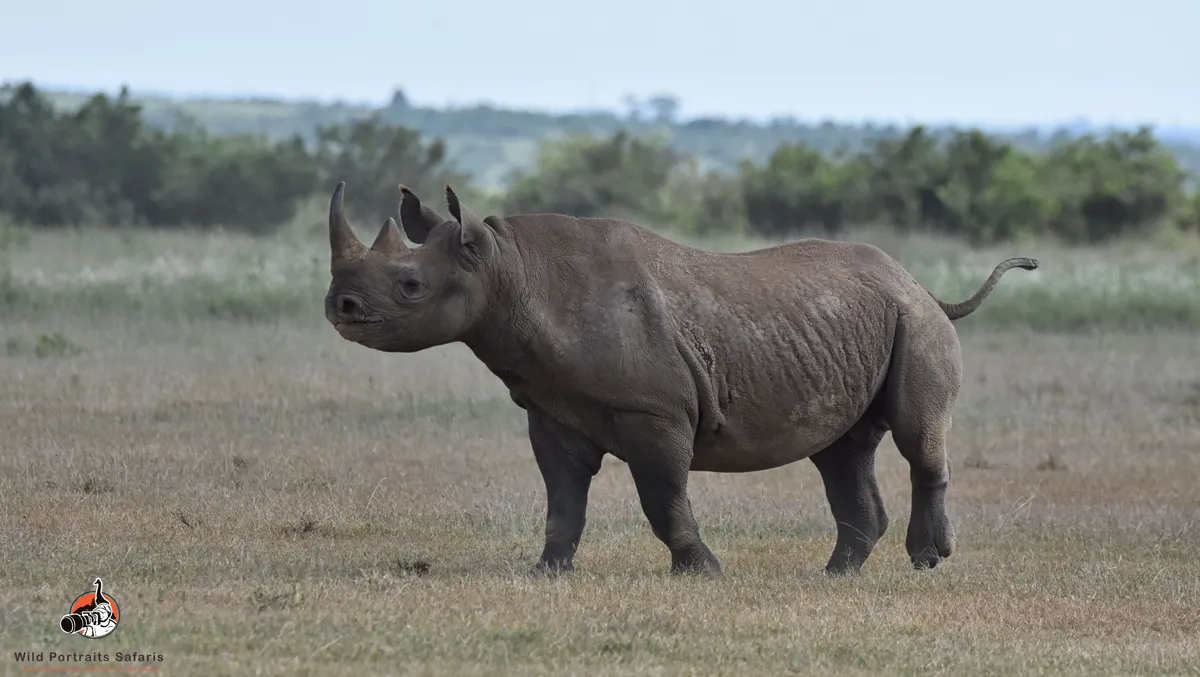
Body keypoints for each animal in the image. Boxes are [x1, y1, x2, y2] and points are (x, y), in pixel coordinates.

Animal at [323, 181, 1038, 576]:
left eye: (410, 286)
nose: (340, 307)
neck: (509, 270)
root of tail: (919, 284)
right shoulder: (551, 407)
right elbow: (562, 497)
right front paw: (547, 572)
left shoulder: (654, 410)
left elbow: (662, 496)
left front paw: (702, 571)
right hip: (864, 322)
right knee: (841, 450)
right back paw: (834, 576)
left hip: (915, 322)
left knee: (918, 437)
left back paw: (926, 559)